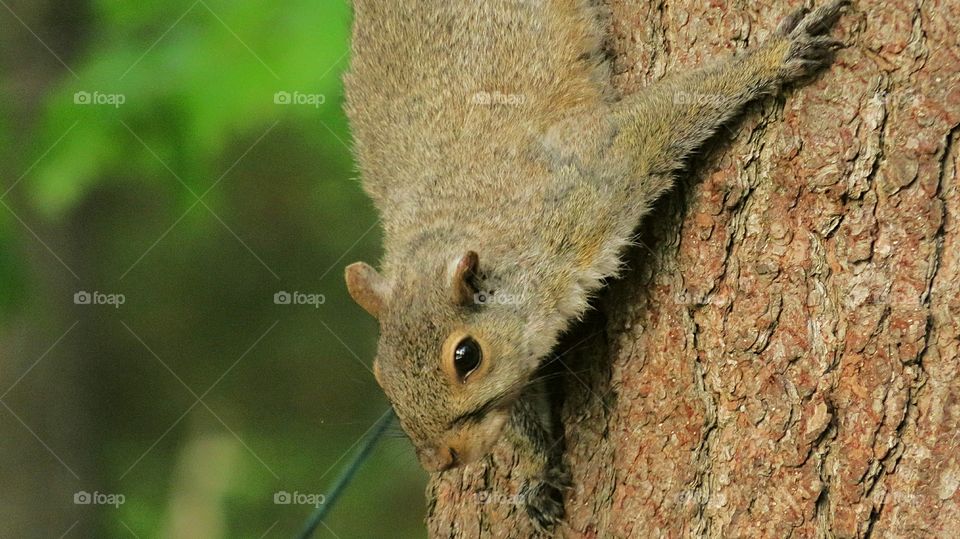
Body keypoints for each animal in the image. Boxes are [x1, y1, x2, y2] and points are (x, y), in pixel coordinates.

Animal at [342, 0, 850, 531]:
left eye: (467, 357)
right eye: (380, 374)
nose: (441, 458)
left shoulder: (589, 180)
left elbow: (659, 119)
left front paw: (772, 57)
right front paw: (537, 474)